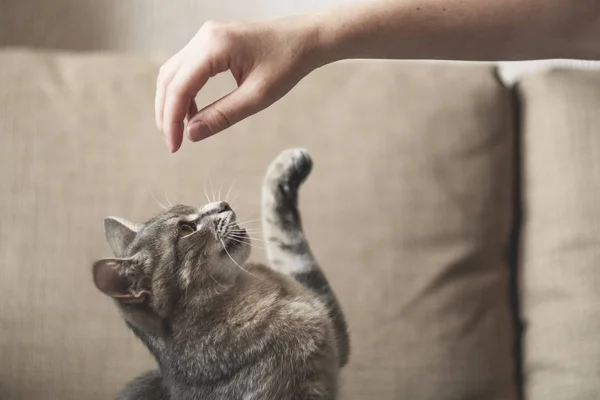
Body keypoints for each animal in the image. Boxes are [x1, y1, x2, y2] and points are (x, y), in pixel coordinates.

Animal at [91, 148, 350, 398]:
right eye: (186, 229)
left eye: (189, 207)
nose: (223, 204)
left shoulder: (334, 332)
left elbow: (288, 244)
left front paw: (285, 167)